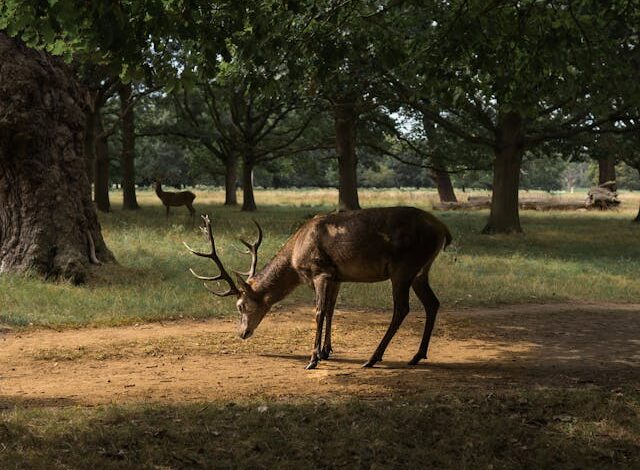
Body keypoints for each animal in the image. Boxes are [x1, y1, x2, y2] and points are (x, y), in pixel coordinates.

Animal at [182, 207, 452, 370]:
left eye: (240, 305)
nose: (241, 333)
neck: (295, 258)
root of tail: (443, 229)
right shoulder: (336, 277)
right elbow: (331, 310)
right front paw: (325, 351)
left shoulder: (320, 271)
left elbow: (319, 312)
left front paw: (312, 359)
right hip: (421, 271)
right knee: (433, 303)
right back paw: (417, 355)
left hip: (404, 268)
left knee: (402, 308)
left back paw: (373, 358)